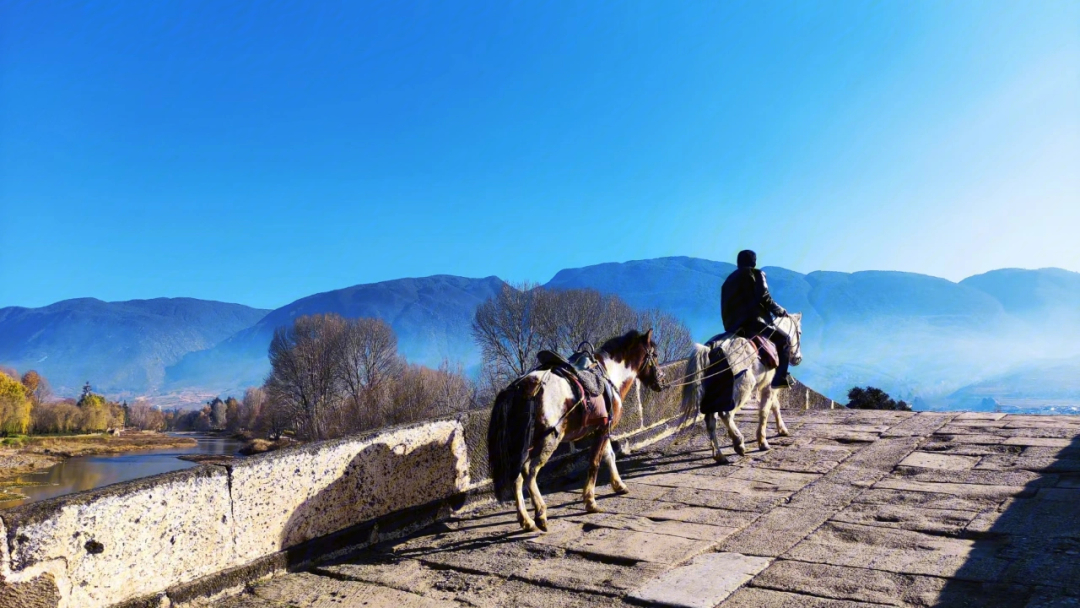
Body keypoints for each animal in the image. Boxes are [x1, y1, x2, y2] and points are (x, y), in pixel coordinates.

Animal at [490, 328, 665, 533]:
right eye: (655, 355)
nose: (661, 381)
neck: (609, 375)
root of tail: (519, 388)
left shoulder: (601, 429)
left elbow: (609, 456)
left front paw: (619, 486)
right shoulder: (602, 430)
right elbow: (595, 462)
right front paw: (590, 501)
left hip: (524, 446)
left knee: (517, 478)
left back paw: (526, 521)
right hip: (549, 440)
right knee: (530, 473)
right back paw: (540, 515)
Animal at [682, 317, 803, 464]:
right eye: (799, 332)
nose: (798, 358)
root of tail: (712, 347)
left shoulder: (769, 387)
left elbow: (775, 406)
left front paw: (782, 430)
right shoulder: (769, 386)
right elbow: (765, 411)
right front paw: (763, 442)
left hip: (715, 395)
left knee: (710, 421)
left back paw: (720, 456)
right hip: (742, 388)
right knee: (725, 414)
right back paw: (738, 443)